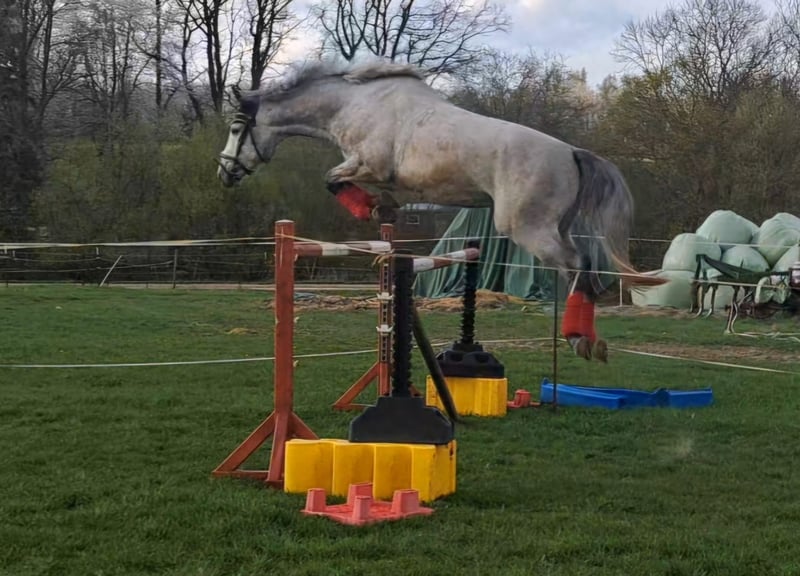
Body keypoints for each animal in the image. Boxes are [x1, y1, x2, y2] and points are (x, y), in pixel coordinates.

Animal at [216, 58, 666, 362]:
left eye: (237, 128)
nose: (224, 173)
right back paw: (590, 341)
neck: (352, 104)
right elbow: (382, 200)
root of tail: (572, 152)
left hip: (527, 227)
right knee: (585, 270)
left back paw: (577, 338)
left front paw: (366, 207)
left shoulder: (368, 164)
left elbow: (333, 179)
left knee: (578, 267)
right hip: (559, 225)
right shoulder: (382, 175)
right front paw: (381, 210)